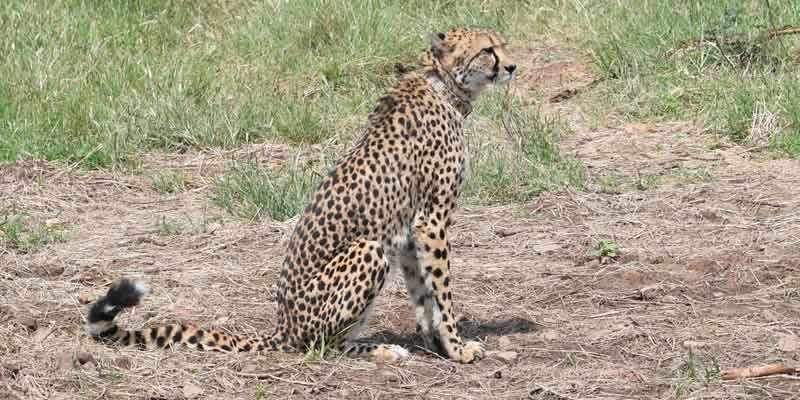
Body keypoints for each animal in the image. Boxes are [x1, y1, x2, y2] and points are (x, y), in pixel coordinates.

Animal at [85, 27, 516, 364]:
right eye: (487, 49)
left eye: (502, 45)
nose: (512, 66)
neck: (444, 87)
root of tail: (283, 327)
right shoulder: (431, 219)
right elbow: (441, 289)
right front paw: (458, 347)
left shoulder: (410, 229)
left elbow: (422, 291)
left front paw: (435, 343)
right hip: (368, 249)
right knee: (320, 345)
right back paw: (379, 350)